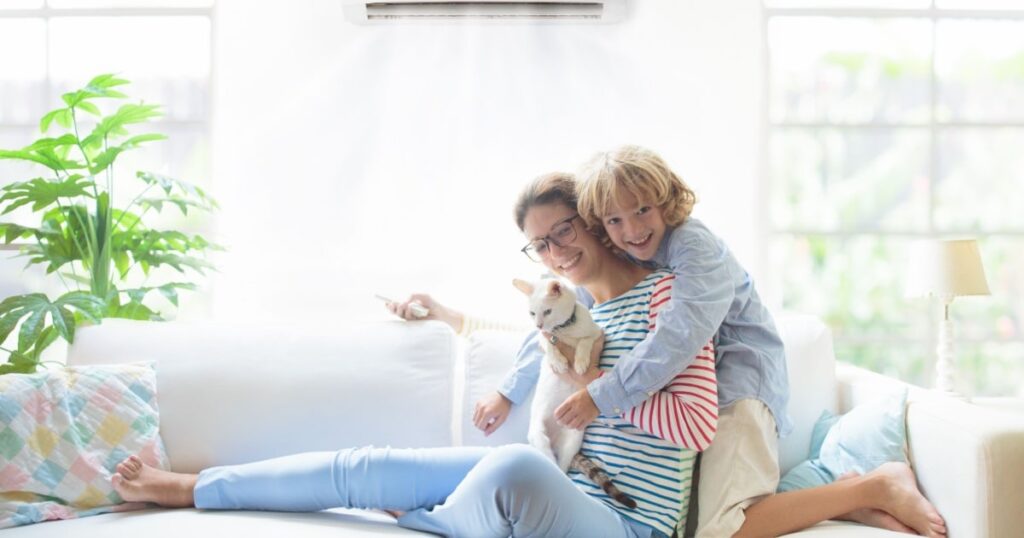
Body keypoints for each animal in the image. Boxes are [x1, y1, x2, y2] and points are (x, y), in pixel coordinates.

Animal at [509, 276, 630, 508]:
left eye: (547, 311)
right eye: (532, 313)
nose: (538, 324)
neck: (563, 330)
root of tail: (554, 442)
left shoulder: (597, 334)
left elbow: (584, 341)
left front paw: (581, 362)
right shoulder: (543, 338)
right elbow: (548, 345)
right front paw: (558, 362)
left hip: (572, 441)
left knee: (562, 470)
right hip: (539, 436)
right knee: (551, 465)